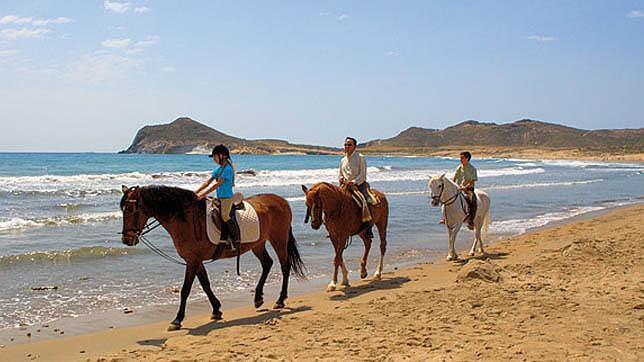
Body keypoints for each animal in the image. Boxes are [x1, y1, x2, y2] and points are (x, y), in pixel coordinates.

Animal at [120, 185, 304, 330]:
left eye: (131, 210)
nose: (126, 240)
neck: (186, 219)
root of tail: (281, 200)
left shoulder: (192, 261)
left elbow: (185, 290)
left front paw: (177, 319)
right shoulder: (195, 260)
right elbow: (205, 285)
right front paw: (216, 310)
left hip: (278, 240)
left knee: (285, 266)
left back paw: (280, 299)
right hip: (257, 243)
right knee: (267, 263)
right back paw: (258, 298)